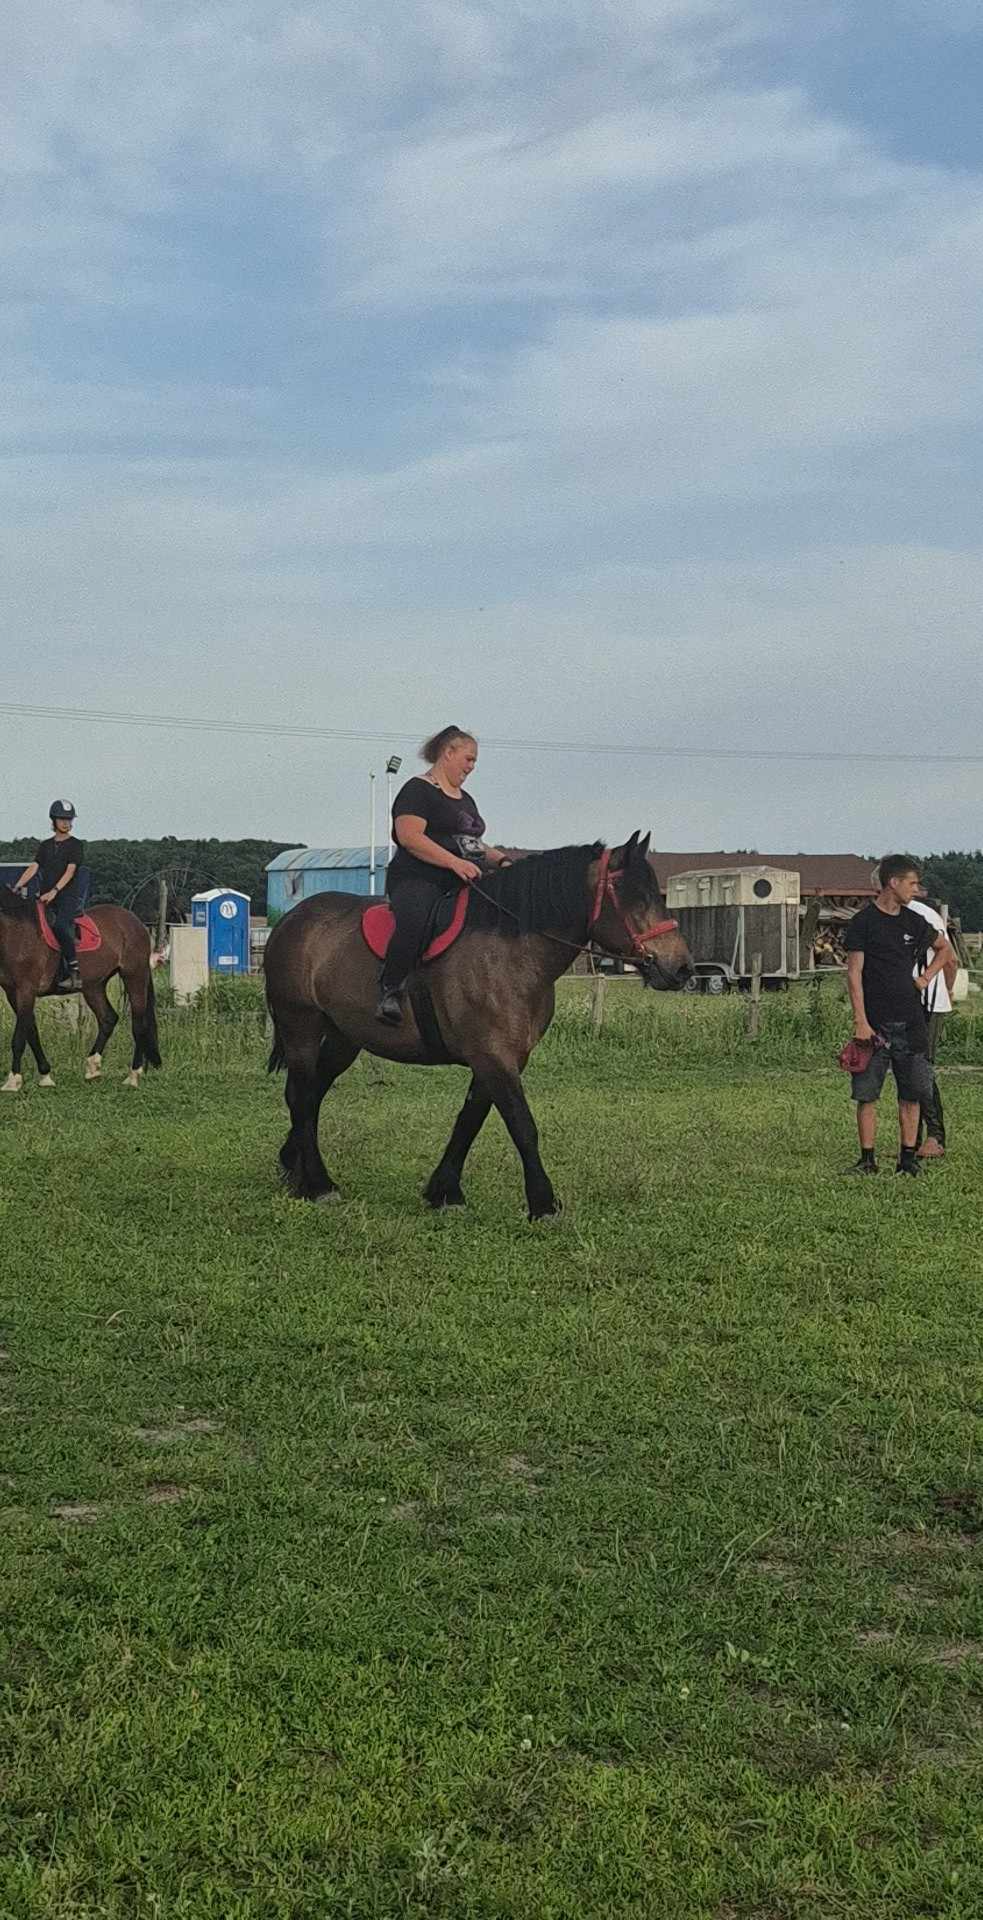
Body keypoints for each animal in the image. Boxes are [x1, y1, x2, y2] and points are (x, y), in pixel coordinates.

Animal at [0, 887, 161, 1098]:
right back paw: (93, 1068)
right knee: (108, 1018)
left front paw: (13, 1081)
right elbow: (31, 1032)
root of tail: (135, 922)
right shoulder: (13, 992)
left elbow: (19, 1037)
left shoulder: (25, 989)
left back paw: (133, 1075)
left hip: (134, 976)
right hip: (94, 986)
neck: (17, 930)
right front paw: (45, 1075)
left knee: (139, 1025)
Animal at [261, 837, 691, 1221]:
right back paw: (318, 1184)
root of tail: (292, 921)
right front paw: (543, 1204)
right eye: (636, 897)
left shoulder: (500, 1058)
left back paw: (293, 1166)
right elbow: (522, 1125)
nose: (683, 967)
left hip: (343, 1038)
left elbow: (469, 1120)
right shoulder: (493, 1057)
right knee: (301, 1095)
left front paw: (444, 1191)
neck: (511, 953)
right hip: (301, 1026)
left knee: (313, 1094)